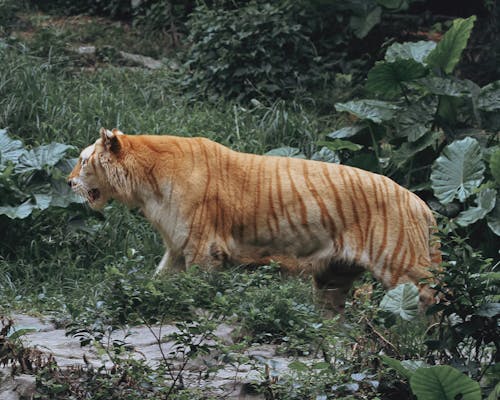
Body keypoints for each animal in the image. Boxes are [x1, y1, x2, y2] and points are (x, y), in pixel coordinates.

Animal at [67, 128, 442, 312]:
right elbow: (157, 281)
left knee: (431, 299)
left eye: (83, 160)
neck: (145, 188)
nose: (69, 182)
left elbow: (197, 291)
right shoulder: (177, 247)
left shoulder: (203, 248)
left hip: (401, 265)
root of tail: (421, 203)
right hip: (333, 277)